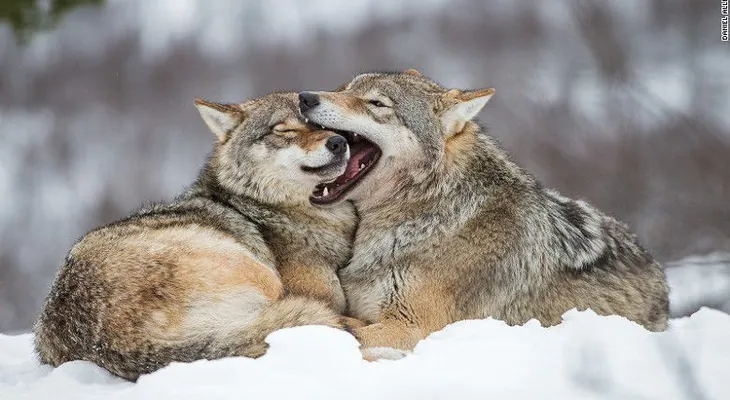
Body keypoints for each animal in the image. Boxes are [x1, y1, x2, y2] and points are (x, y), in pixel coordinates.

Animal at [34, 92, 362, 380]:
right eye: (283, 129)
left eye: (326, 127)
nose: (339, 142)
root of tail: (115, 343)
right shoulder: (322, 295)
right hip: (258, 272)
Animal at [299, 69, 669, 358]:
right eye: (344, 88)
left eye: (376, 104)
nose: (305, 97)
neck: (430, 208)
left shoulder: (411, 327)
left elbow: (341, 331)